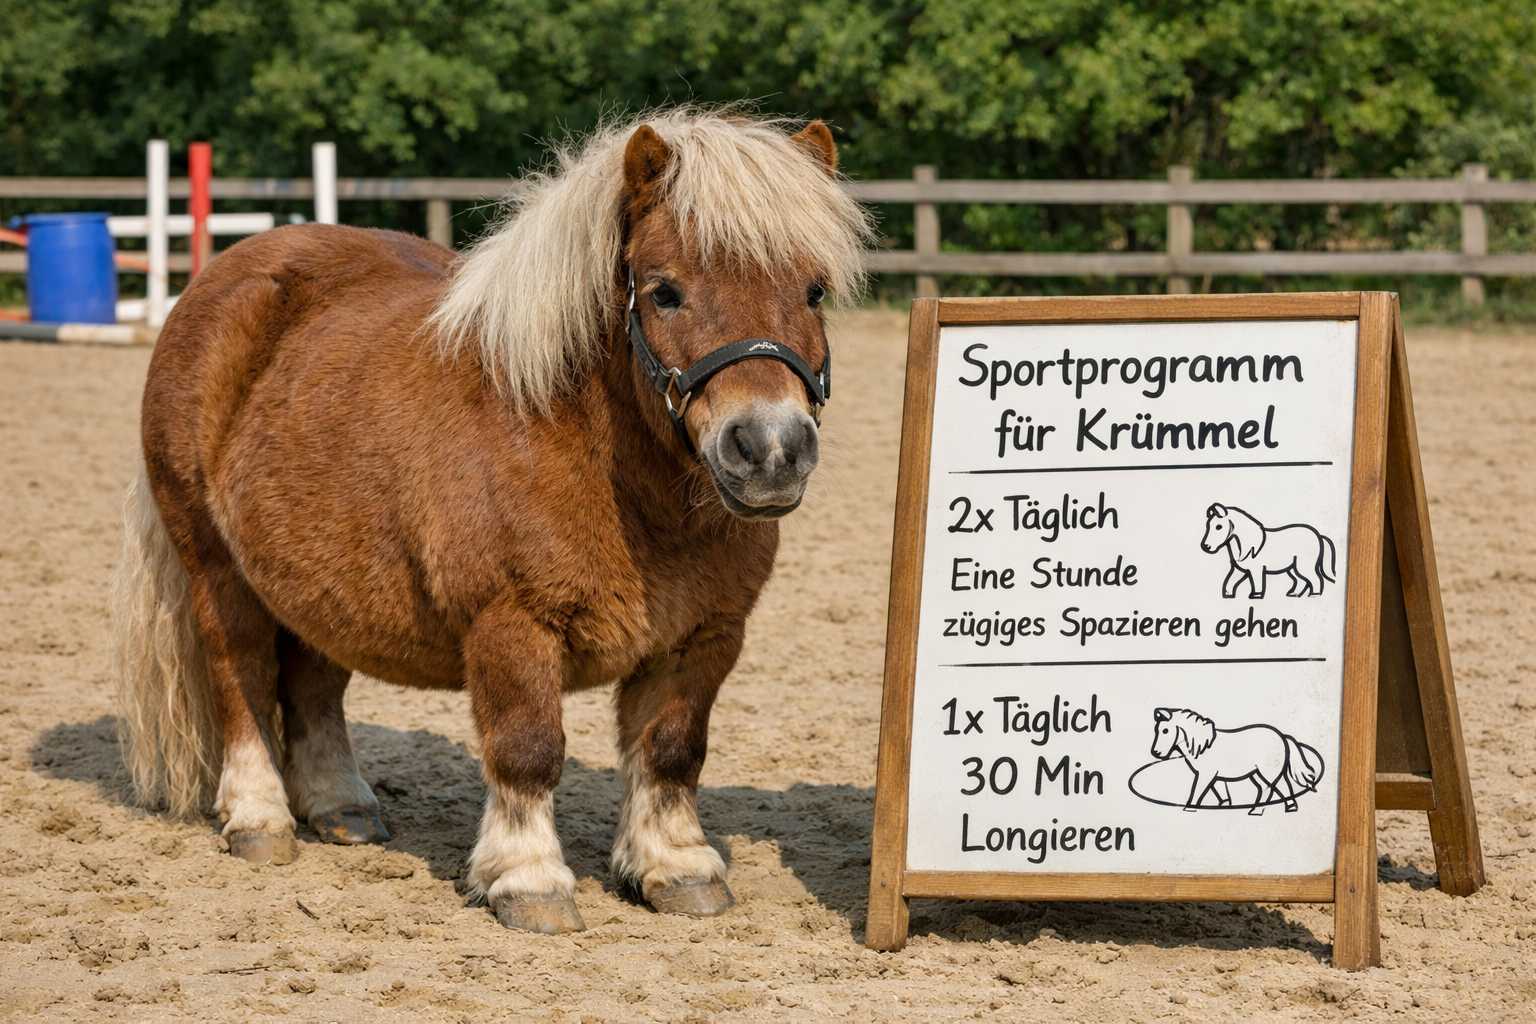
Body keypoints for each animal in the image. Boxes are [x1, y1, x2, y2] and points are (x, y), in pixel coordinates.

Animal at [111, 109, 874, 934]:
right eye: (665, 292)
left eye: (814, 289)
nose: (770, 449)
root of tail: (222, 278)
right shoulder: (511, 624)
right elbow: (528, 748)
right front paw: (527, 879)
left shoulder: (704, 636)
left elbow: (672, 749)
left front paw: (675, 866)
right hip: (215, 566)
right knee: (240, 669)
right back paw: (259, 816)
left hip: (316, 574)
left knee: (314, 681)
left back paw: (341, 807)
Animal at [1148, 708, 1324, 814]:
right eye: (1157, 730)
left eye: (1165, 730)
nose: (1156, 753)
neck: (1204, 746)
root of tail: (1282, 736)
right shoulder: (1216, 776)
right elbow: (1221, 792)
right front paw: (1224, 806)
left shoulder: (1206, 774)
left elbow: (1198, 790)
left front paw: (1189, 808)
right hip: (1257, 774)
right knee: (1278, 786)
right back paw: (1288, 807)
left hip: (1266, 772)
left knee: (1271, 788)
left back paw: (1257, 811)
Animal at [1200, 502, 1336, 599]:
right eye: (1208, 526)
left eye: (1219, 527)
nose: (1206, 547)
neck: (1248, 545)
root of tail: (1319, 536)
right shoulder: (1239, 570)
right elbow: (1229, 582)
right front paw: (1228, 595)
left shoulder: (1256, 569)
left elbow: (1257, 582)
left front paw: (1255, 596)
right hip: (1293, 567)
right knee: (1300, 581)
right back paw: (1293, 594)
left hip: (1304, 565)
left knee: (1315, 579)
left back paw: (1314, 595)